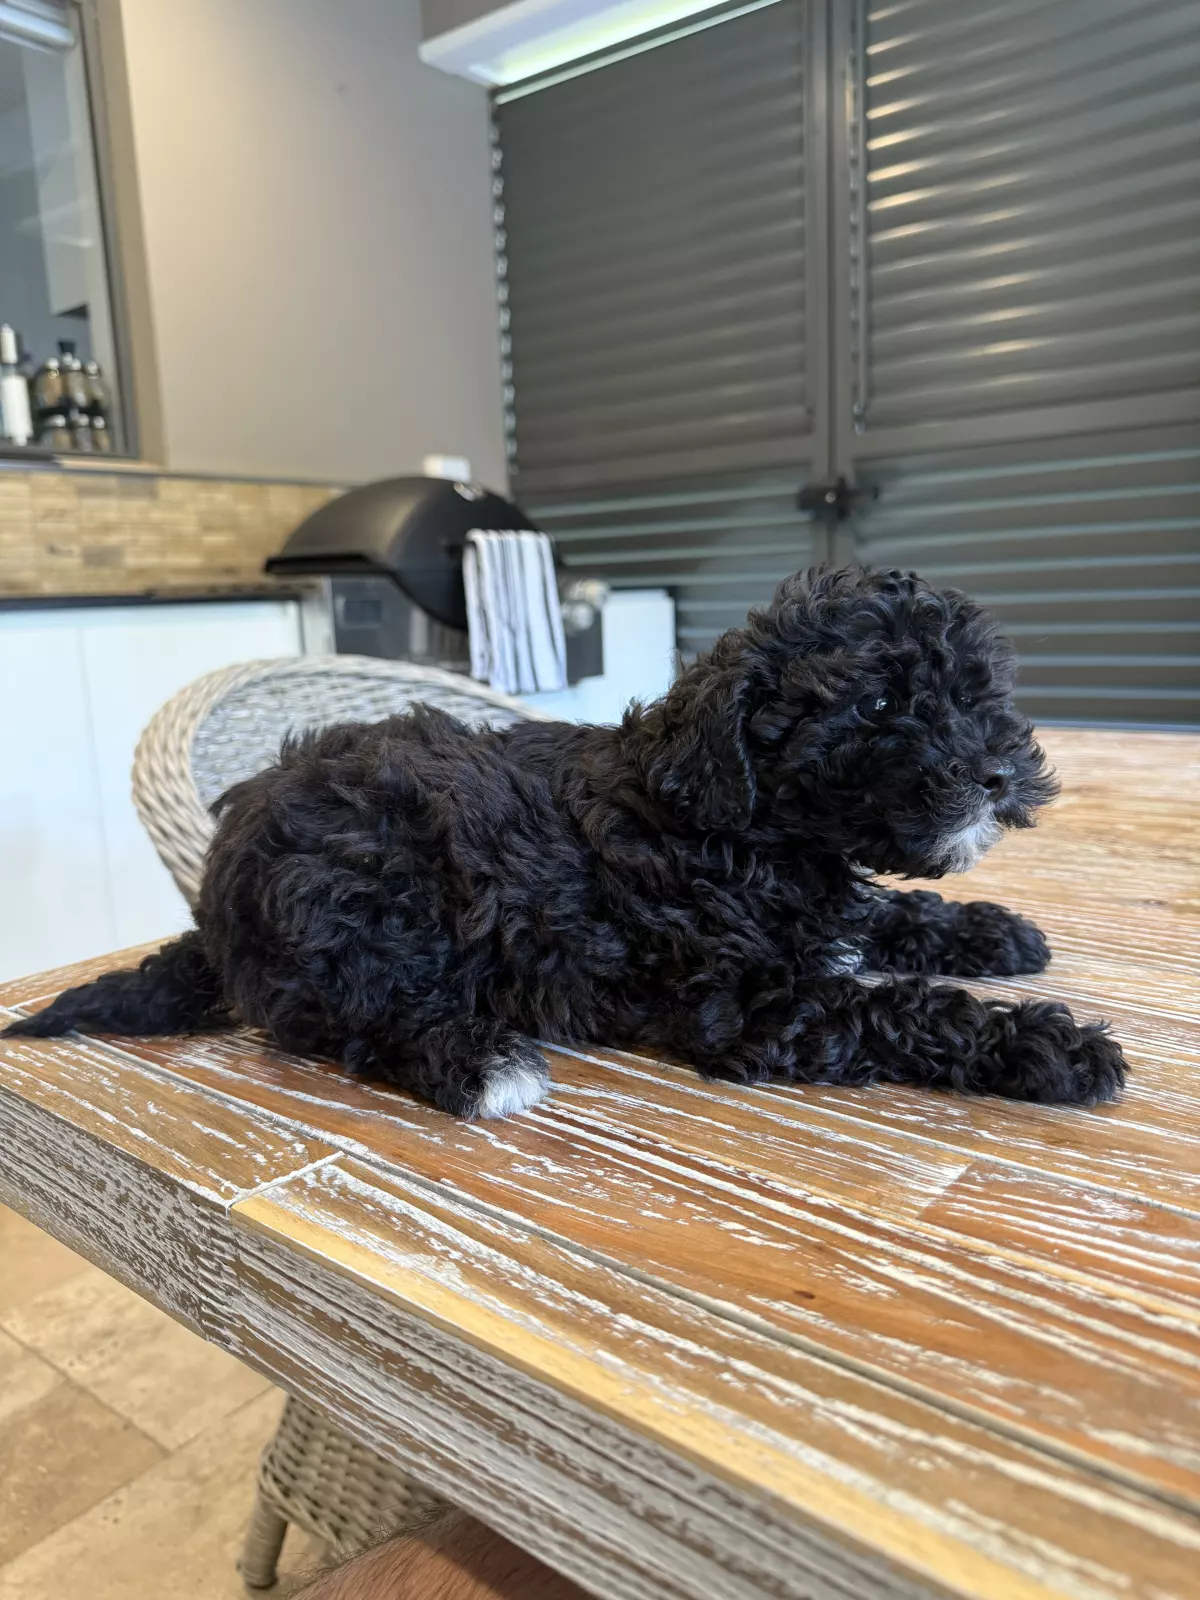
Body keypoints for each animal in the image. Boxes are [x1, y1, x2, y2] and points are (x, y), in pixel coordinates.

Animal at [5, 566, 1126, 1117]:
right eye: (882, 704)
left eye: (976, 691)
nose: (999, 773)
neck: (745, 824)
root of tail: (216, 900)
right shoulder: (745, 1000)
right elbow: (896, 1009)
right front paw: (1051, 1046)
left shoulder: (826, 906)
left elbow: (887, 911)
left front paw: (993, 932)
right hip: (368, 894)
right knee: (359, 1024)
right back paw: (482, 1064)